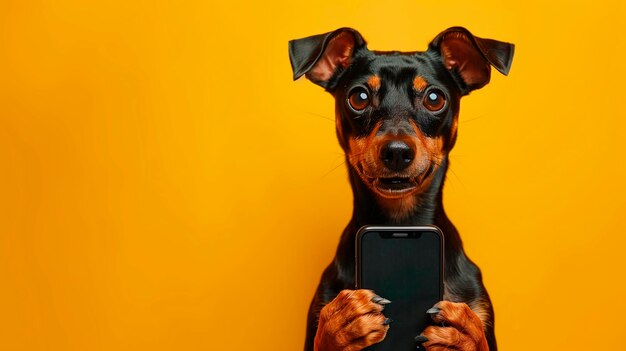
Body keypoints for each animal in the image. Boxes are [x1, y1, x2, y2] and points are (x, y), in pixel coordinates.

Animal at [288, 26, 512, 350]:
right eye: (359, 97)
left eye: (434, 98)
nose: (396, 151)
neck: (400, 220)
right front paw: (340, 325)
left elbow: (475, 335)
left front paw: (463, 333)